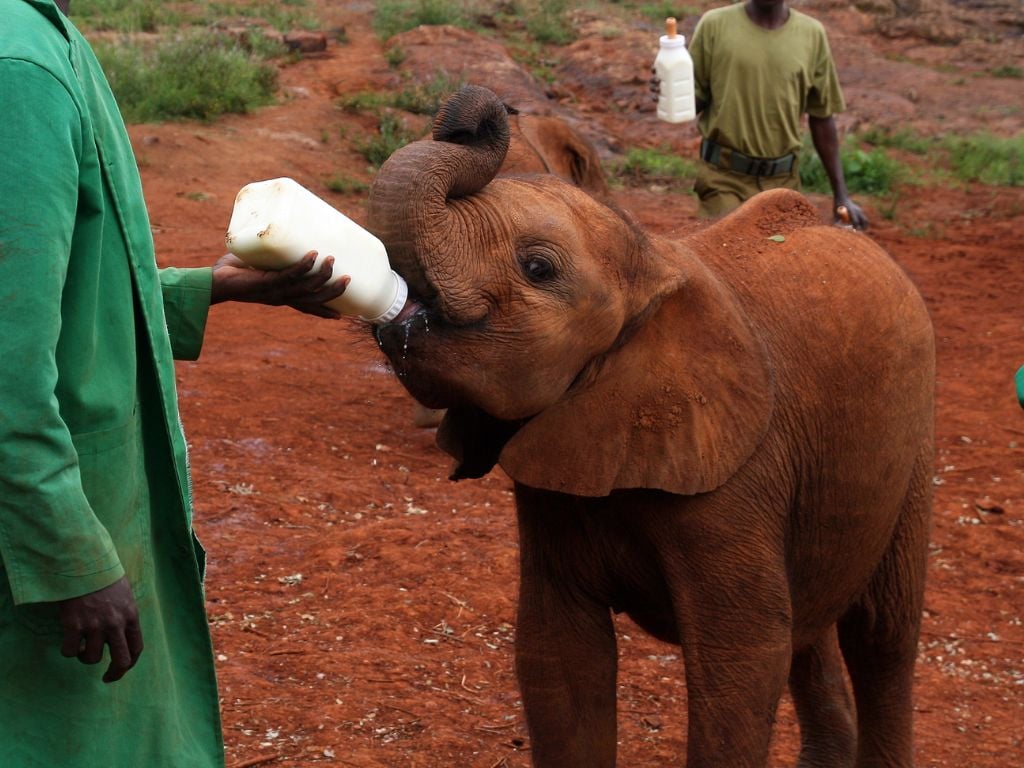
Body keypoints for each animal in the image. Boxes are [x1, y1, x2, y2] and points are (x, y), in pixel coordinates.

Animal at [368, 85, 937, 768]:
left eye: (538, 269)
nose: (476, 112)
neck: (652, 268)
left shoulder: (738, 477)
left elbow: (743, 663)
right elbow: (557, 653)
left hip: (915, 442)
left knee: (882, 632)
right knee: (813, 618)